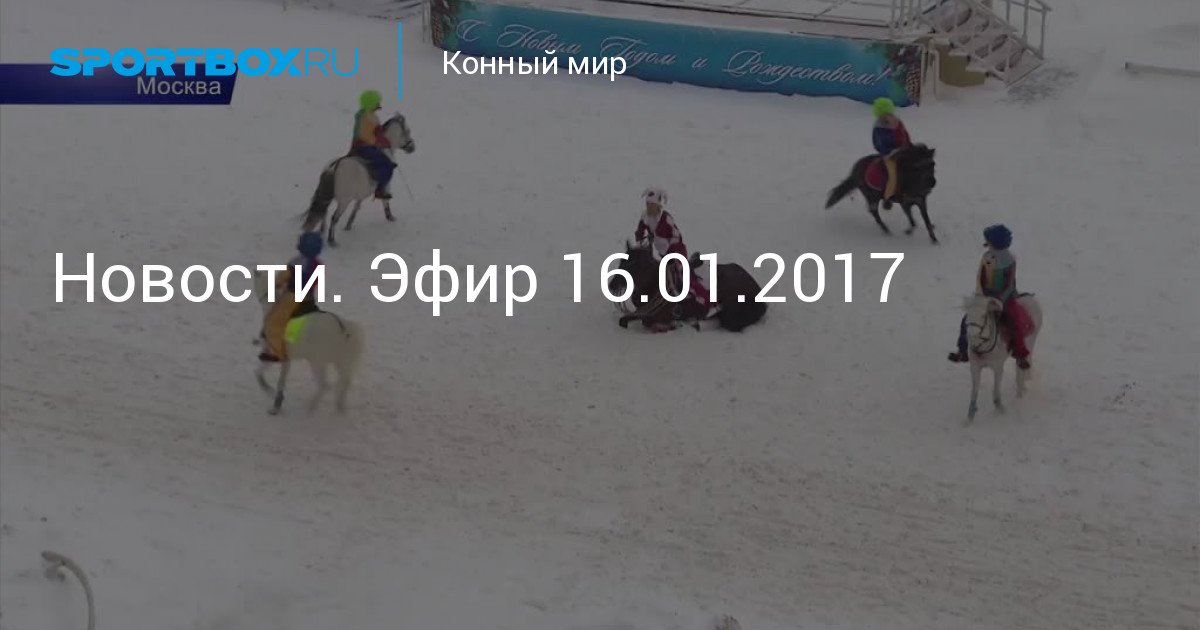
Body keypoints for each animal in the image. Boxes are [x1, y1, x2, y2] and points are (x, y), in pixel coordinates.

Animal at [252, 270, 366, 415]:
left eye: (263, 273)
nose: (255, 270)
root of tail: (345, 328)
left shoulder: (279, 356)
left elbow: (271, 379)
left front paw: (274, 403)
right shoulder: (279, 357)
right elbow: (261, 374)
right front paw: (273, 396)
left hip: (318, 361)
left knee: (324, 384)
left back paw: (310, 406)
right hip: (342, 361)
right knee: (345, 381)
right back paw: (339, 405)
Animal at [301, 113, 416, 247]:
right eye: (407, 131)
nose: (412, 147)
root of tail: (333, 167)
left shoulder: (361, 195)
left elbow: (356, 209)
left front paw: (348, 226)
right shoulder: (385, 185)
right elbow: (385, 202)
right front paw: (390, 217)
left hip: (328, 198)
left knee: (323, 213)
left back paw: (321, 233)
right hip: (343, 202)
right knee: (334, 217)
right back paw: (332, 240)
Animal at [610, 241, 767, 332]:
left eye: (635, 264)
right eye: (621, 261)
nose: (612, 286)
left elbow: (647, 321)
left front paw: (672, 325)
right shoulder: (641, 311)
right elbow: (625, 320)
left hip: (732, 310)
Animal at [961, 293, 1042, 424]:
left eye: (983, 315)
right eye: (967, 314)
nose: (970, 336)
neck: (983, 348)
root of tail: (1031, 298)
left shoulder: (997, 368)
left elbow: (996, 394)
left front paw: (1002, 411)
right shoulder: (975, 367)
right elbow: (974, 394)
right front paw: (969, 418)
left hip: (1030, 343)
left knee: (1021, 368)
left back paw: (1020, 394)